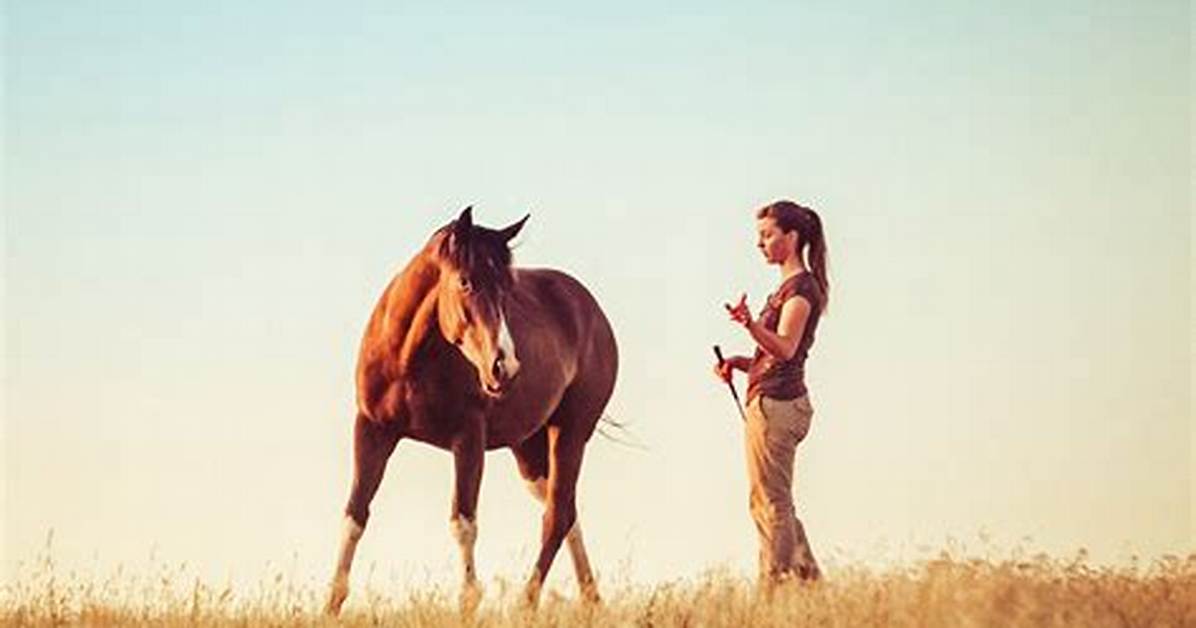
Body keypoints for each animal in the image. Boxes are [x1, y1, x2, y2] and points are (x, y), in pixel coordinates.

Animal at [325, 207, 619, 614]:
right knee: (566, 511)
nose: (505, 367)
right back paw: (591, 599)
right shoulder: (371, 431)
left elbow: (463, 522)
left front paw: (468, 603)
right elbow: (354, 516)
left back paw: (526, 604)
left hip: (571, 432)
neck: (407, 359)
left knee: (556, 516)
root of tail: (592, 310)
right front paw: (331, 604)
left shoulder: (468, 439)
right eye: (465, 281)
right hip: (528, 449)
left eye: (507, 288)